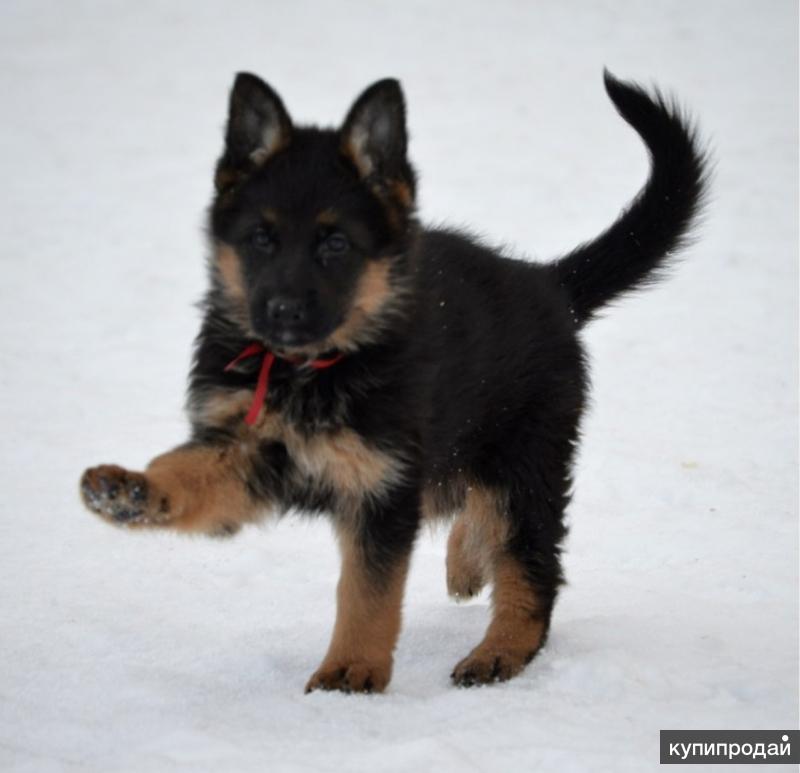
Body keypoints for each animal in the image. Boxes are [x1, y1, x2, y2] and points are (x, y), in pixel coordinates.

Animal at [81, 69, 708, 692]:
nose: (282, 312)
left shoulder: (381, 486)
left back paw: (499, 651)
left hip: (524, 452)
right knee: (474, 505)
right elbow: (187, 474)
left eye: (335, 243)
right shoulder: (248, 451)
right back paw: (467, 563)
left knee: (528, 558)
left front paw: (350, 672)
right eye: (261, 238)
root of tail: (547, 283)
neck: (310, 369)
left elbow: (368, 592)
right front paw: (130, 491)